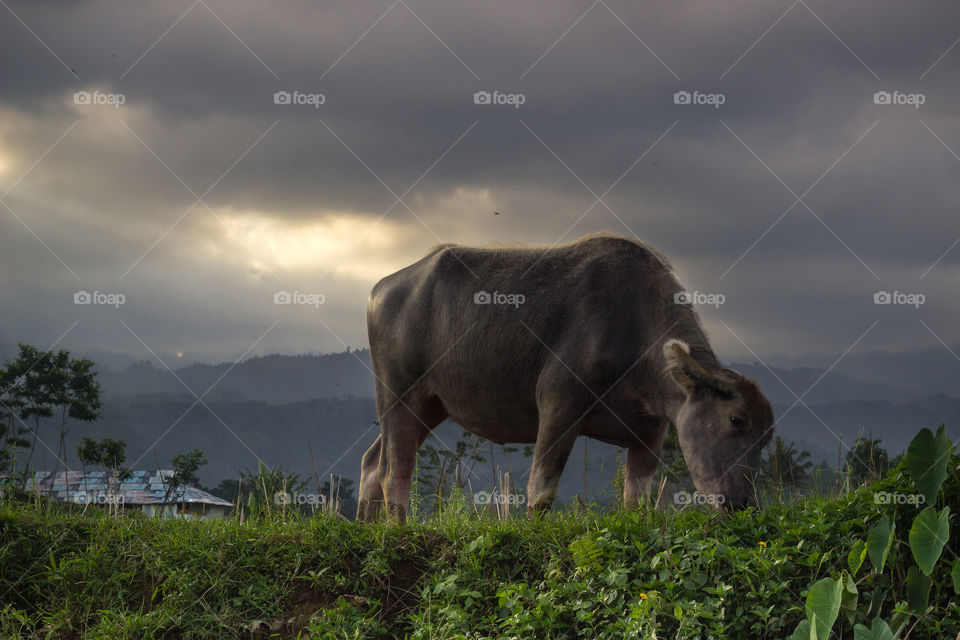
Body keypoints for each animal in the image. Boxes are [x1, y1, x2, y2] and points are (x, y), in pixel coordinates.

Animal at [357, 233, 774, 522]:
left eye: (765, 438)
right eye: (736, 420)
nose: (742, 504)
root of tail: (382, 288)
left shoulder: (651, 433)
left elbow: (637, 500)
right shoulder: (560, 404)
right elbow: (541, 488)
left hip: (430, 405)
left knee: (373, 461)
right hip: (398, 392)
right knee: (395, 469)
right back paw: (396, 529)